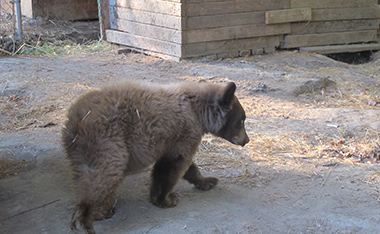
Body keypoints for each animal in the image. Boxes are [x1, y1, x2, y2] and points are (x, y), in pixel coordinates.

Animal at [62, 81, 249, 234]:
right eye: (242, 120)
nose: (246, 140)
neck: (198, 112)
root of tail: (75, 120)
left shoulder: (179, 138)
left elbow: (188, 166)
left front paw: (207, 181)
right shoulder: (184, 132)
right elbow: (172, 164)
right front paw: (165, 198)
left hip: (81, 151)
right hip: (108, 141)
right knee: (103, 176)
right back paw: (91, 215)